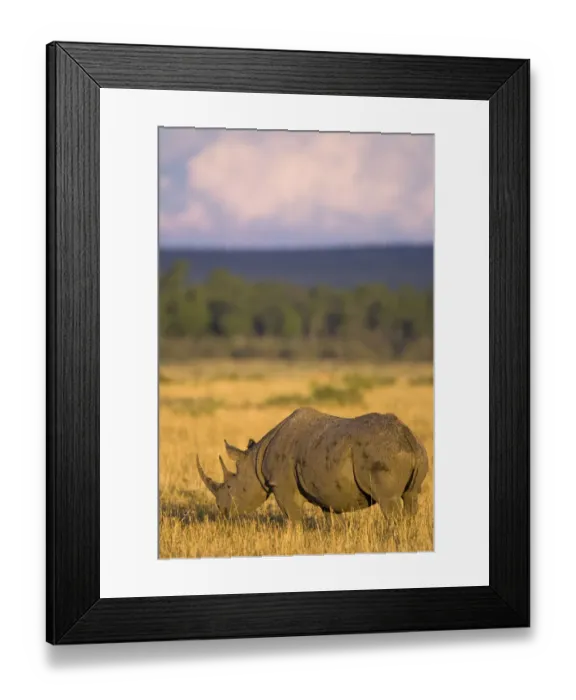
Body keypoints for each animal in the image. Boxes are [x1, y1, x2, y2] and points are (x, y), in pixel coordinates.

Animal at [196, 407, 428, 522]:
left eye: (229, 486)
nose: (221, 510)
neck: (254, 461)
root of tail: (406, 436)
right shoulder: (327, 490)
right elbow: (332, 521)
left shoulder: (281, 485)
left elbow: (294, 519)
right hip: (417, 451)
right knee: (411, 497)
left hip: (383, 454)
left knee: (389, 502)